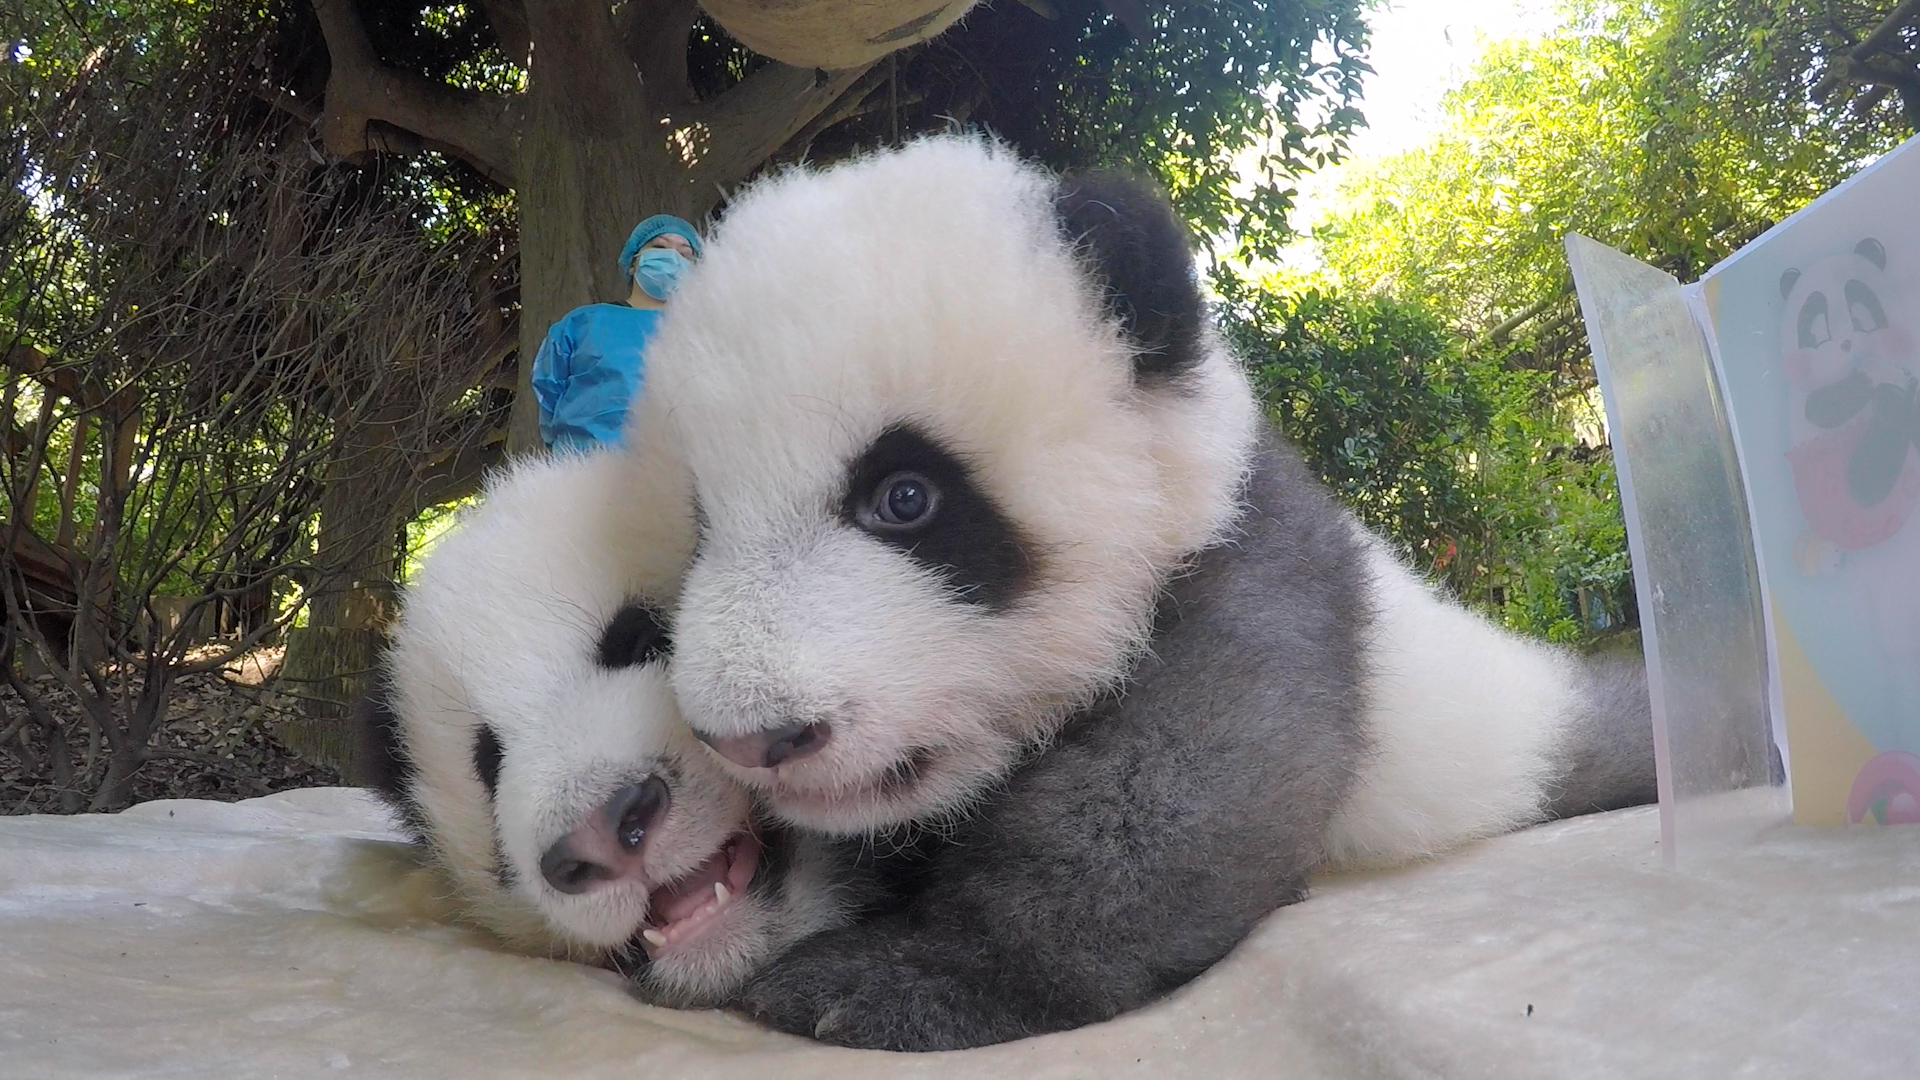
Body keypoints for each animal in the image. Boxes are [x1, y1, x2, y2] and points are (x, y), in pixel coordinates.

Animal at [624, 135, 1657, 1050]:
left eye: (905, 498)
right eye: (703, 524)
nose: (751, 739)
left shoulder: (1253, 576)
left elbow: (1172, 798)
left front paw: (891, 982)